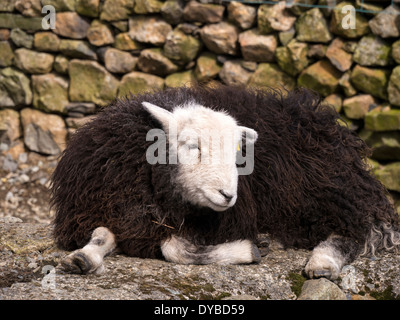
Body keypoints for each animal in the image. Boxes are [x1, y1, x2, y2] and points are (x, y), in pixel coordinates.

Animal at [53, 86, 400, 278]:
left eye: (237, 152)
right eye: (191, 145)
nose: (228, 195)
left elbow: (173, 248)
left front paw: (249, 249)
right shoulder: (107, 209)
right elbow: (103, 233)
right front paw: (82, 257)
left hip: (326, 190)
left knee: (353, 231)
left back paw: (323, 262)